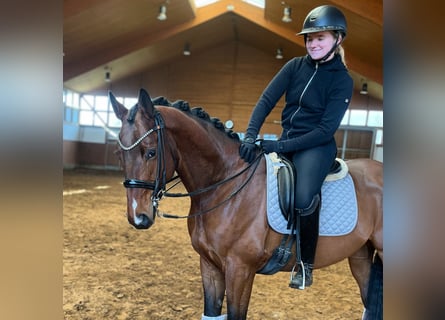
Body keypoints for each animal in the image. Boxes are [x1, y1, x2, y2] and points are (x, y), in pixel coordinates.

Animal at [108, 88, 382, 320]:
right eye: (119, 154)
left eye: (151, 152)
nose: (138, 217)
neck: (223, 184)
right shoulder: (210, 266)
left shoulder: (240, 271)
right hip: (360, 256)